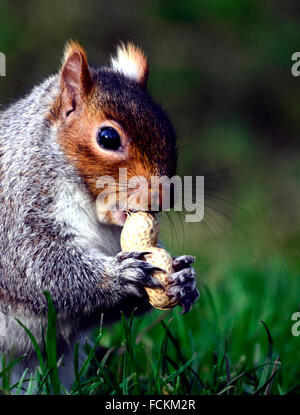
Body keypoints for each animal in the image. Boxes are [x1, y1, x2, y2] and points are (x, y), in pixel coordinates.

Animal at [0, 42, 199, 390]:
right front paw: (119, 276)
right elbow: (37, 267)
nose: (163, 197)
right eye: (108, 138)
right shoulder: (16, 210)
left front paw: (182, 278)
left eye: (171, 135)